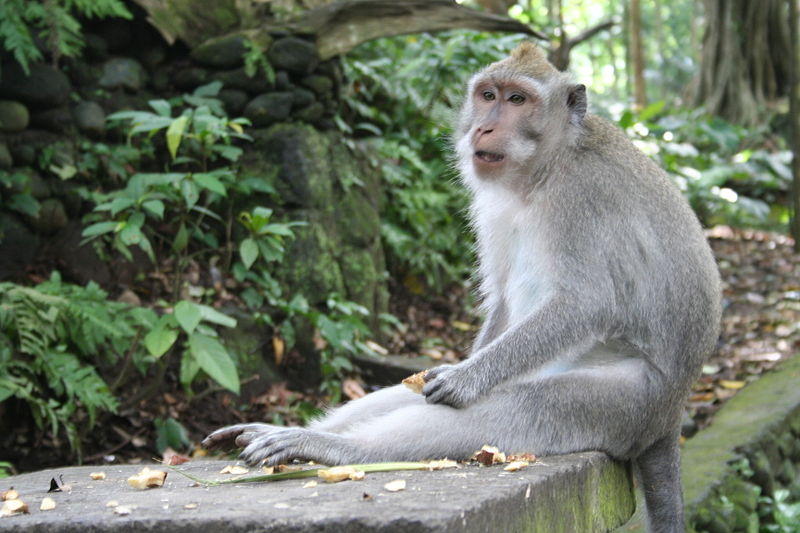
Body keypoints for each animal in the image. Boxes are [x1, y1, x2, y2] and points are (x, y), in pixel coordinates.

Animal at [205, 42, 720, 532]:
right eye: (488, 96)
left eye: (517, 100)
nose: (483, 130)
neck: (547, 167)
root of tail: (671, 416)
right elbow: (503, 298)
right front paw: (463, 366)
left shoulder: (584, 197)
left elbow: (586, 302)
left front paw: (466, 377)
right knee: (408, 394)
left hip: (627, 403)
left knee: (510, 411)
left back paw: (326, 448)